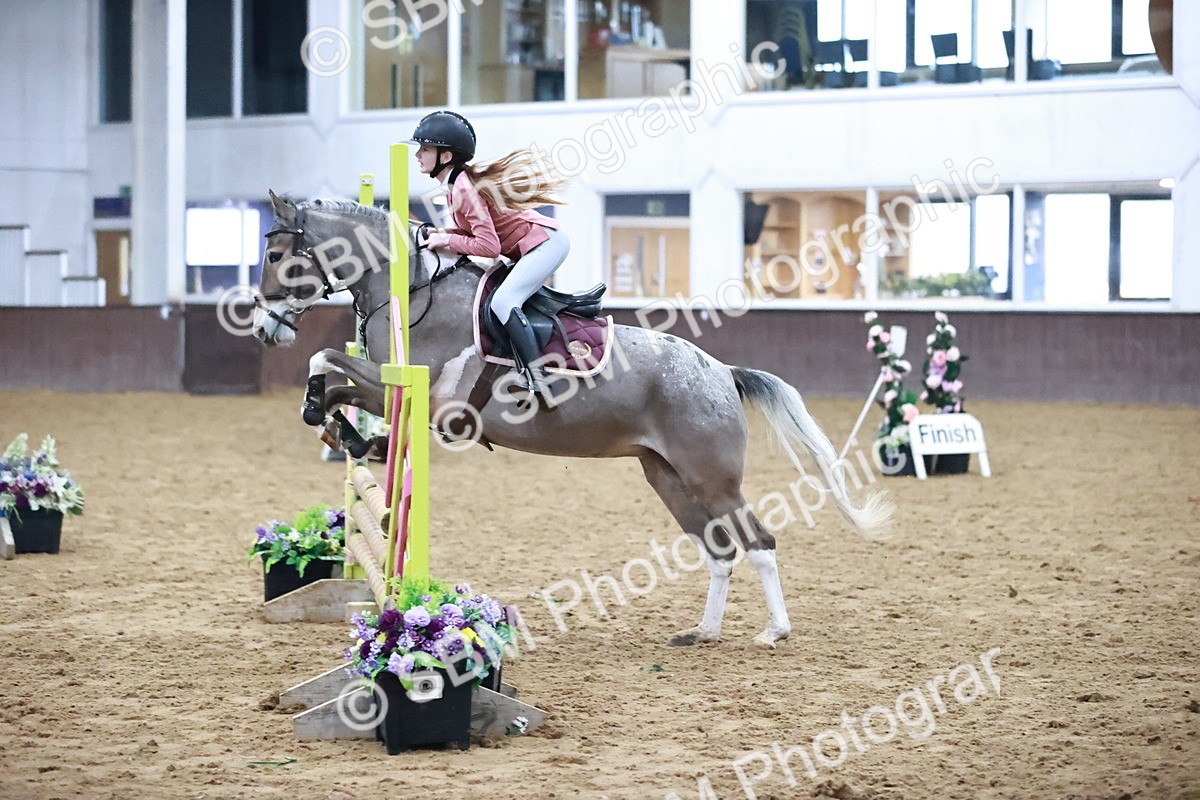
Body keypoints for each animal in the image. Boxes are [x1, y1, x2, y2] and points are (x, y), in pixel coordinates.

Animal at [252, 191, 892, 649]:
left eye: (278, 256)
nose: (263, 328)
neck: (413, 293)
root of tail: (721, 372)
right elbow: (330, 369)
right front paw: (337, 425)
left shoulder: (423, 399)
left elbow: (327, 362)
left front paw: (329, 417)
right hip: (667, 476)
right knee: (719, 550)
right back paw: (705, 632)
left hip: (712, 478)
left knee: (757, 541)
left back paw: (774, 632)